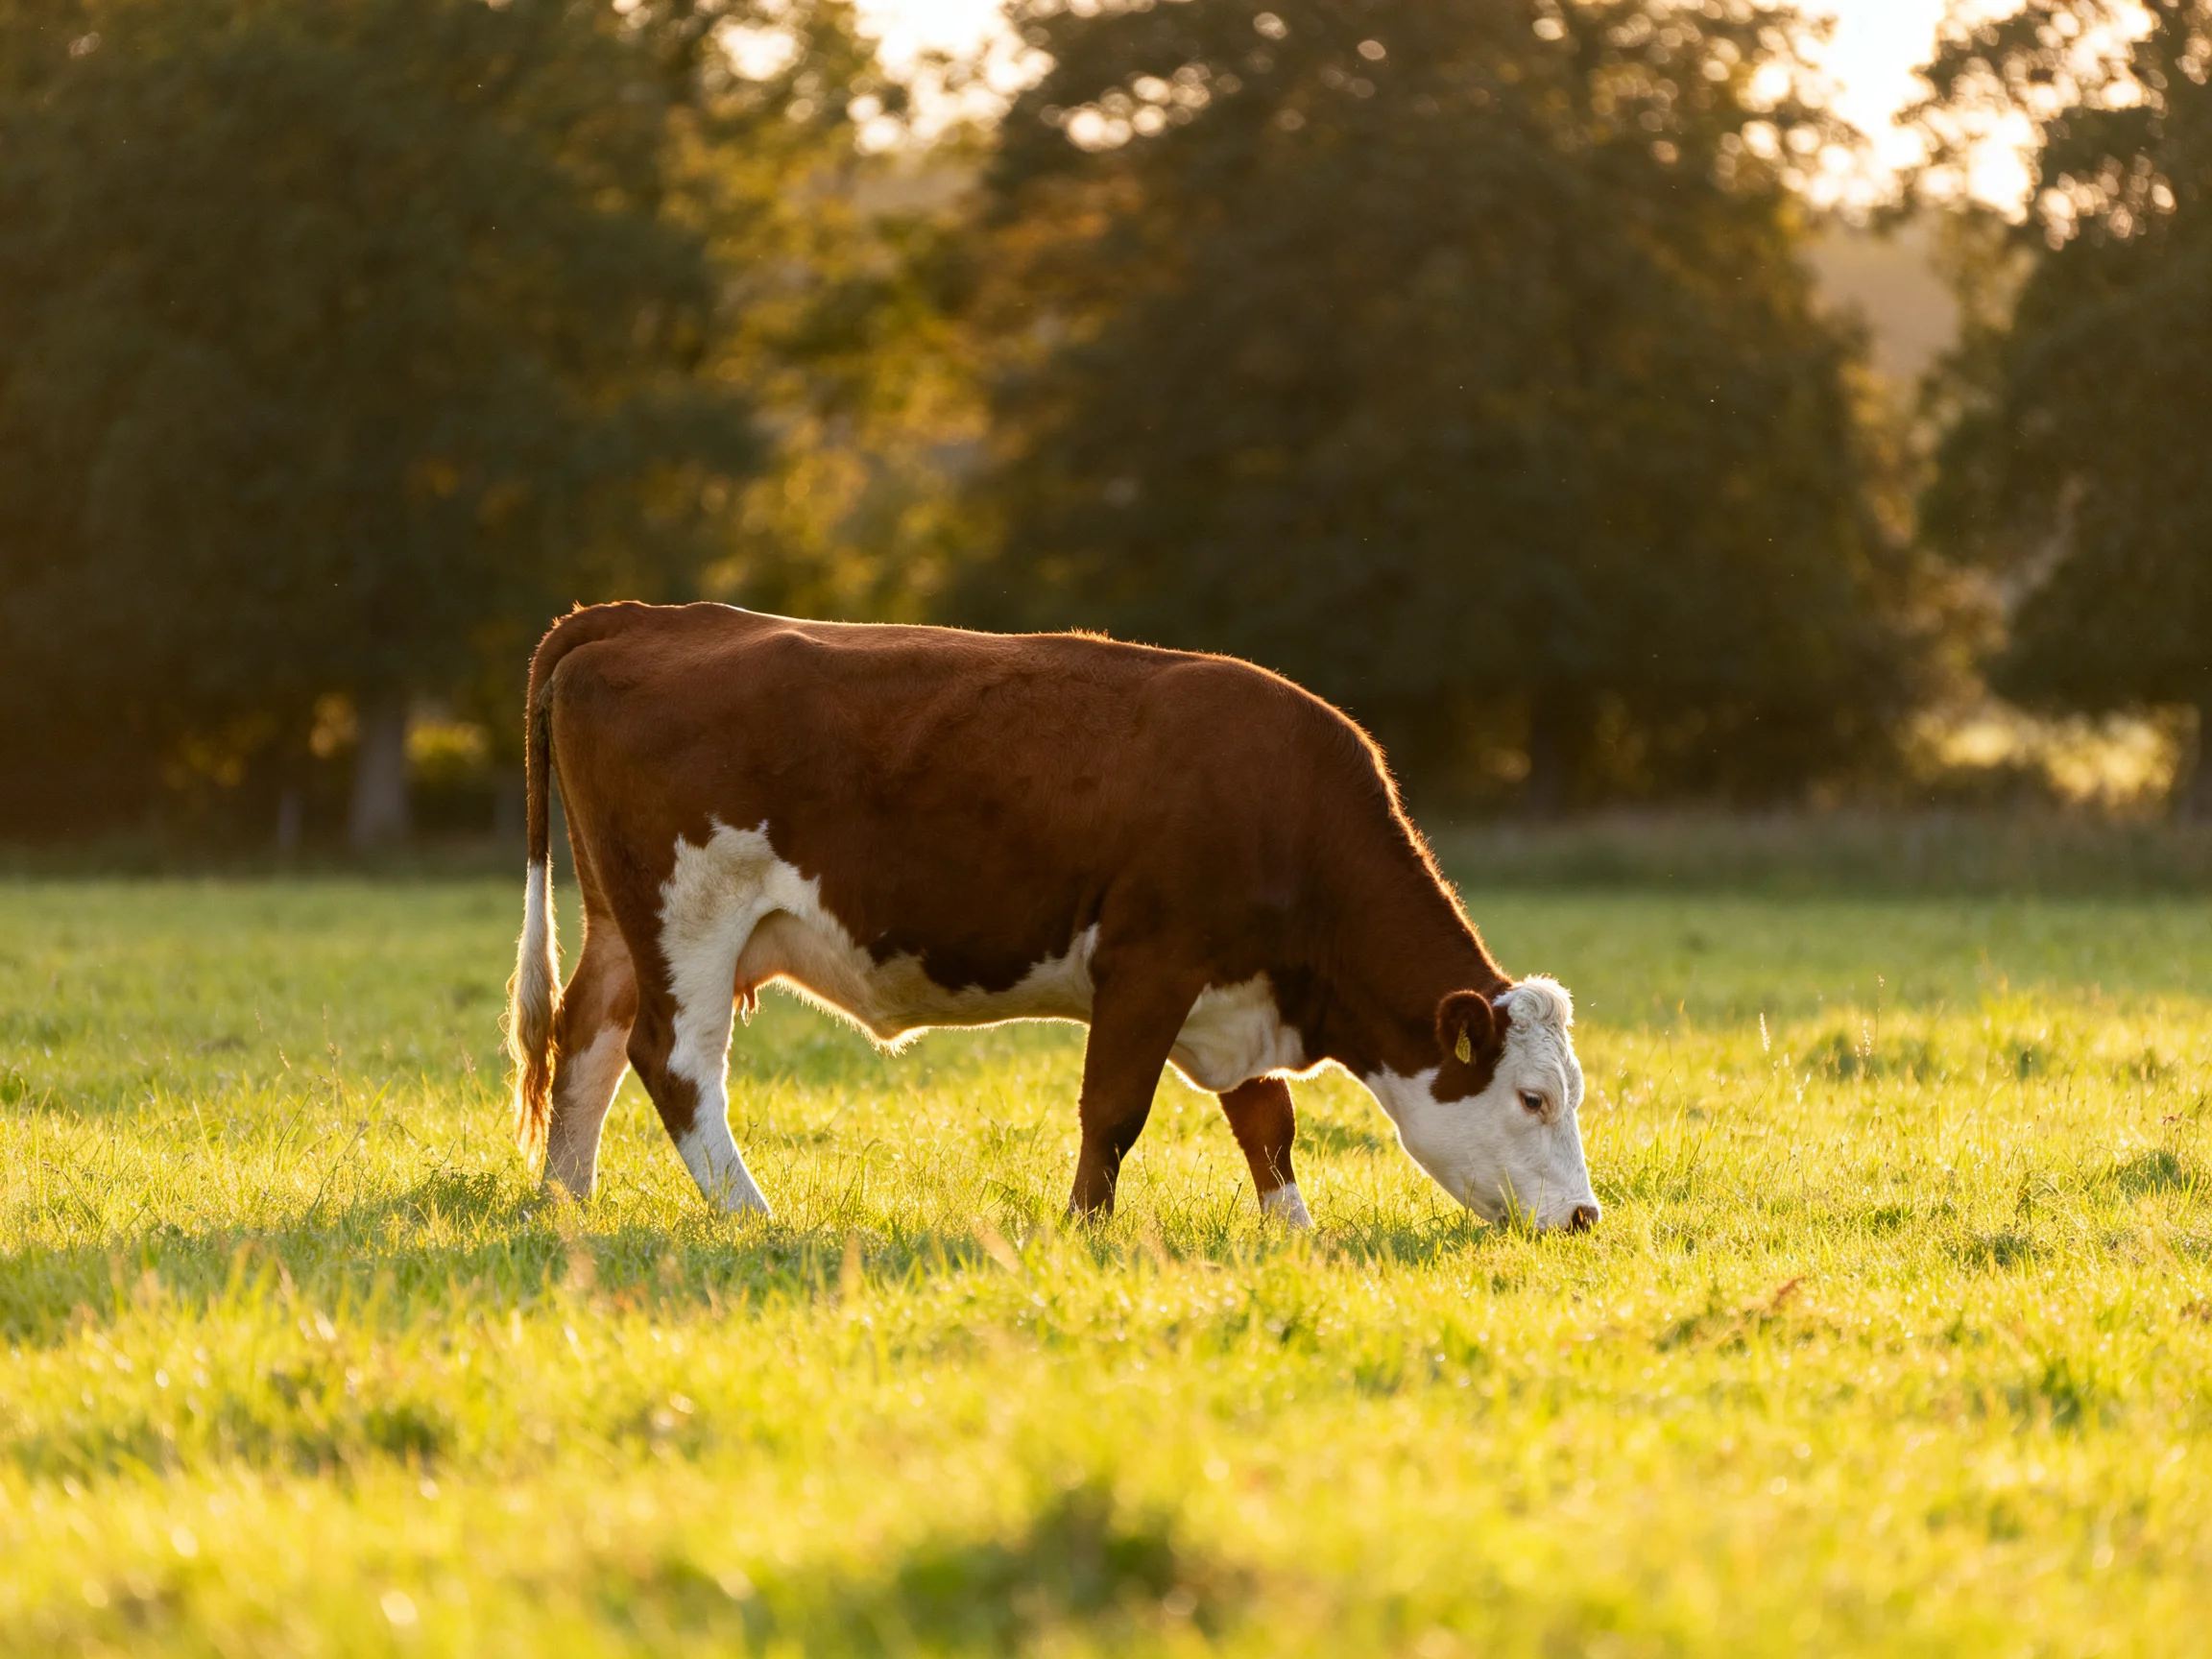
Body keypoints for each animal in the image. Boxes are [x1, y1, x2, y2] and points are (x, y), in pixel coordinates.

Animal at [505, 603, 1600, 1232]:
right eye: (1534, 1098)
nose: (1587, 1217)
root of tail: (639, 617)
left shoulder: (1231, 993)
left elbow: (1268, 1122)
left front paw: (1296, 1238)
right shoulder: (1151, 965)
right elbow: (1113, 1111)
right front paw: (1085, 1231)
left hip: (623, 920)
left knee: (585, 1037)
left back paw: (566, 1197)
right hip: (690, 913)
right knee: (675, 1061)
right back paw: (750, 1215)